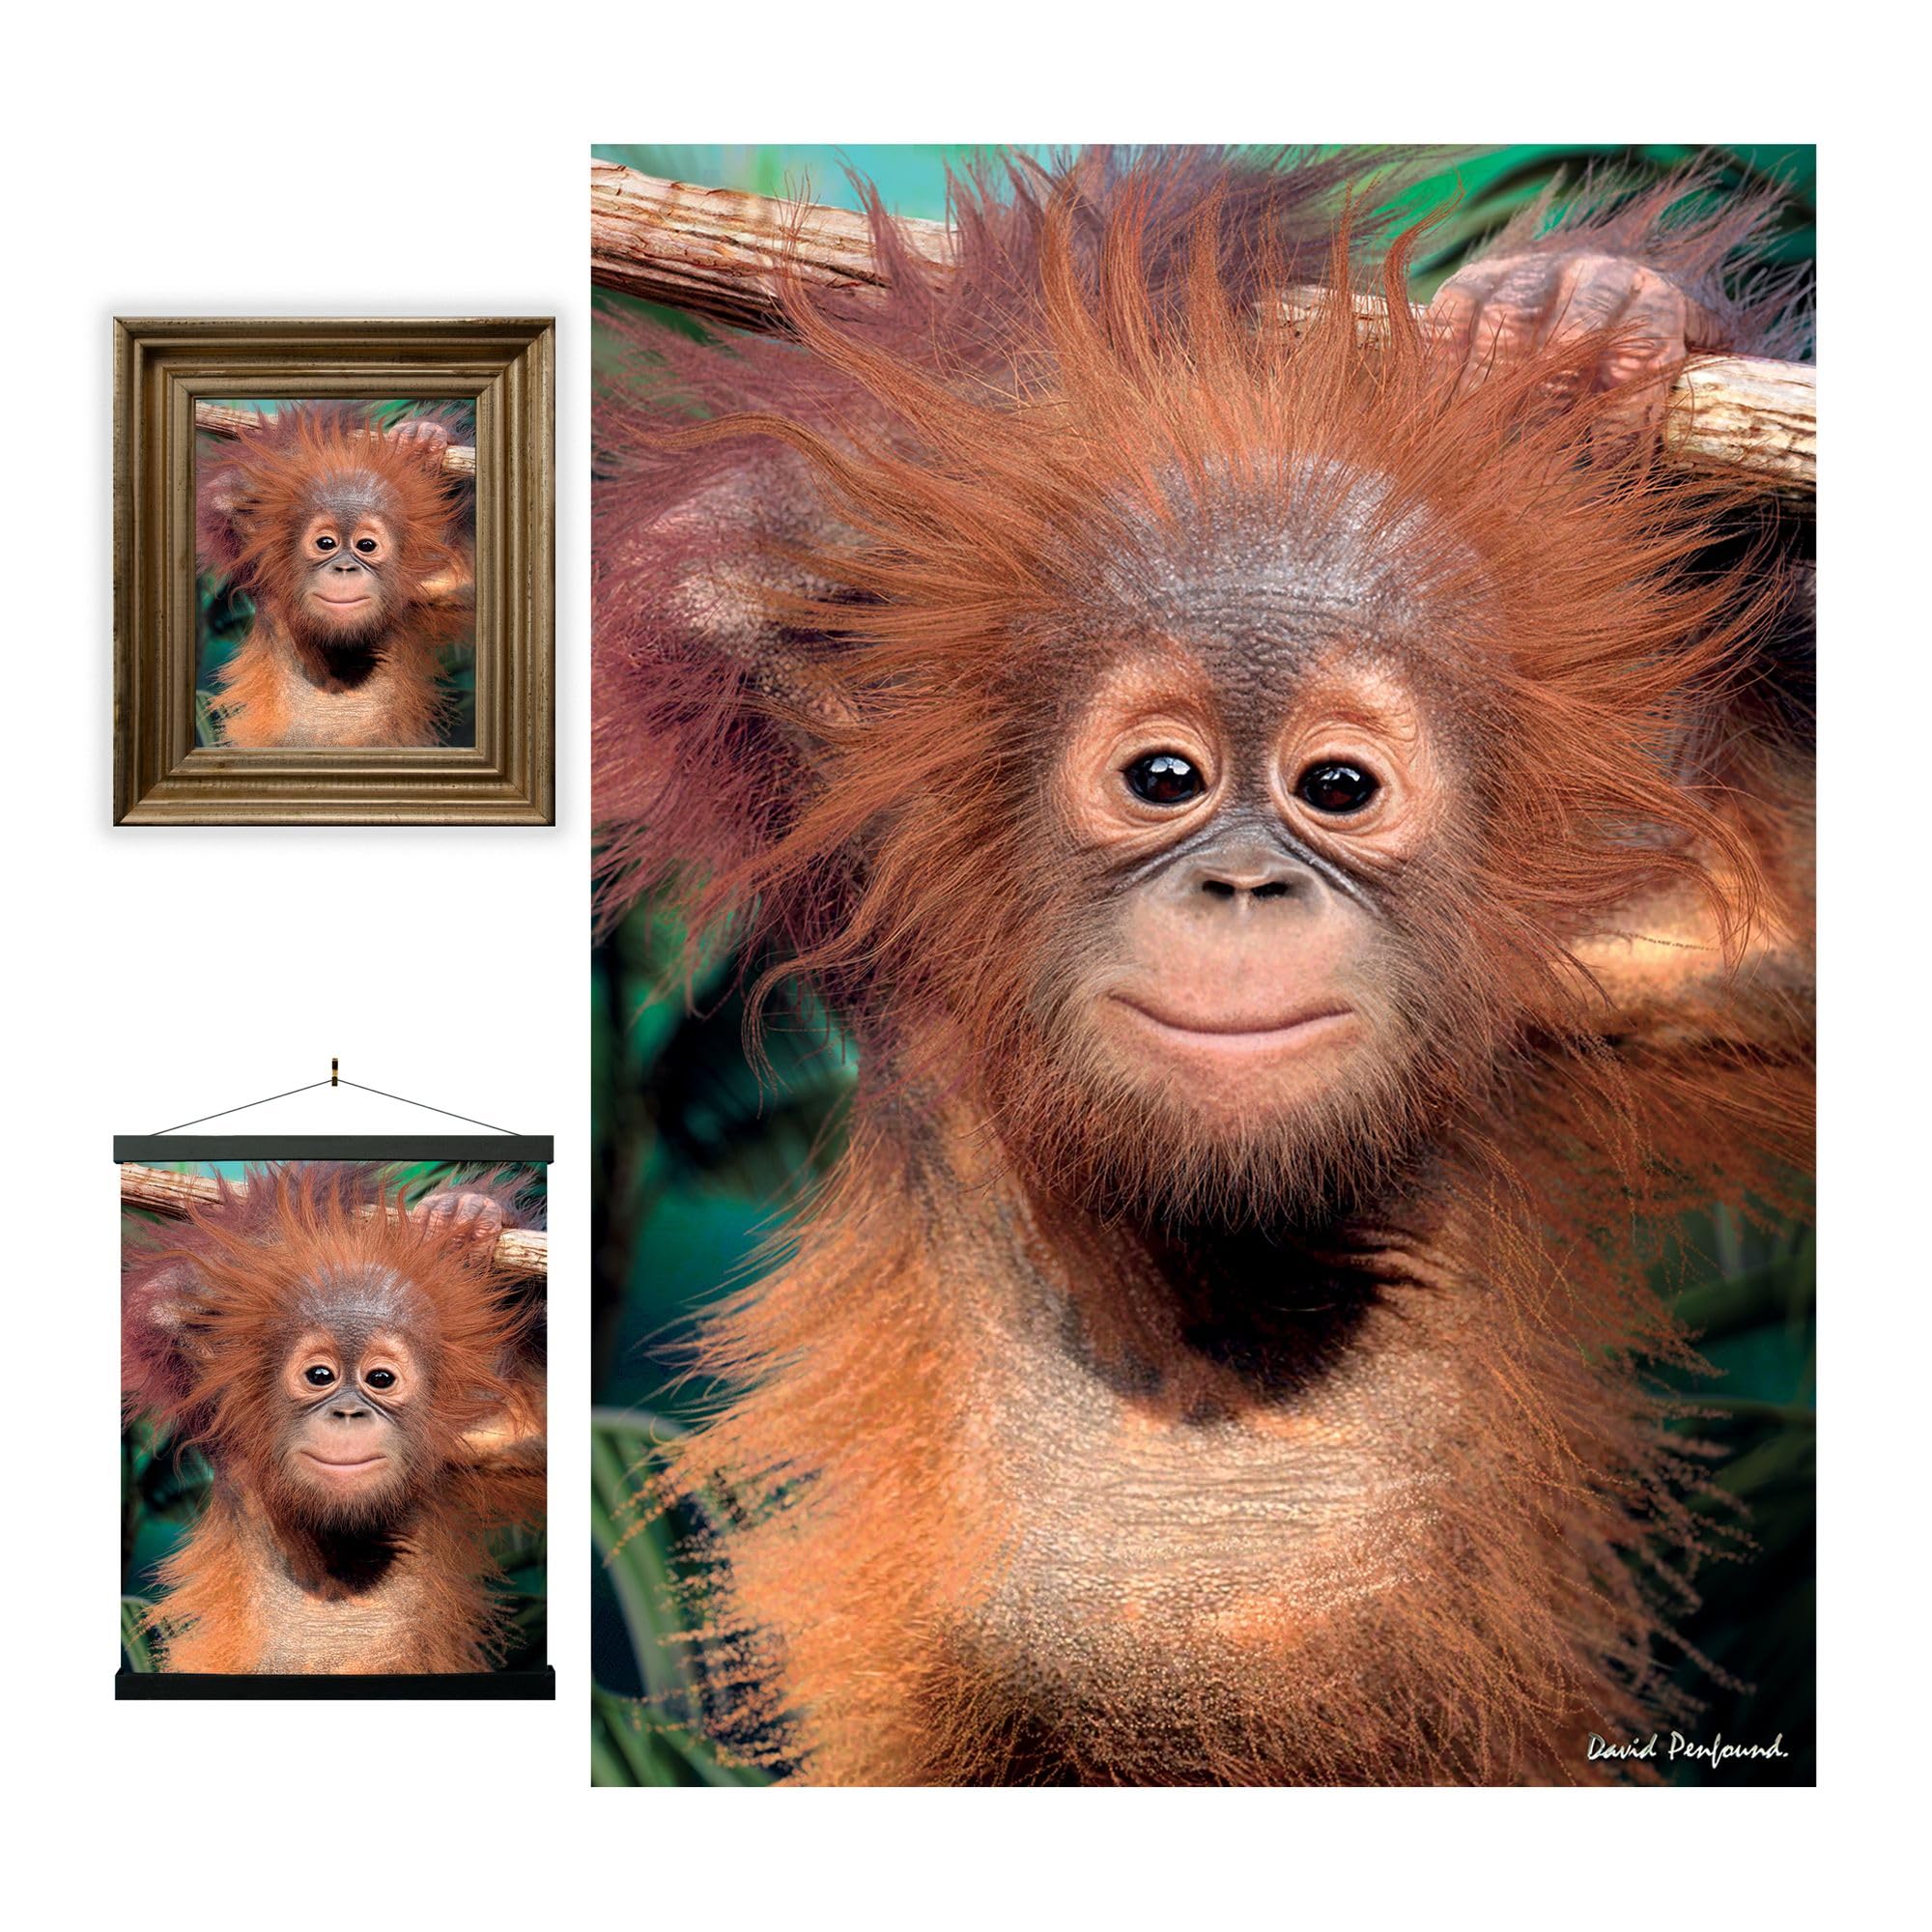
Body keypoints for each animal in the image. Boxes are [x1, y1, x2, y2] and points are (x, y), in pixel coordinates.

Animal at [122, 1165, 545, 1675]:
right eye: (319, 1376)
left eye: (380, 1379)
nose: (347, 1412)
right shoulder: (227, 1415)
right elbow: (159, 1305)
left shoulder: (473, 1449)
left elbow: (536, 1430)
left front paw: (467, 1213)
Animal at [196, 404, 474, 748]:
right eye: (326, 543)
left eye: (366, 545)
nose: (344, 568)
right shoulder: (264, 568)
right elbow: (222, 497)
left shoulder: (430, 589)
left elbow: (464, 576)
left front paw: (424, 436)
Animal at [592, 150, 1813, 1783]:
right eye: (1163, 778)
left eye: (1338, 788)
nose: (1244, 882)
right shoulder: (899, 896)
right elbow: (713, 584)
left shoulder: (1604, 987)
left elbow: (1787, 937)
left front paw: (1595, 317)